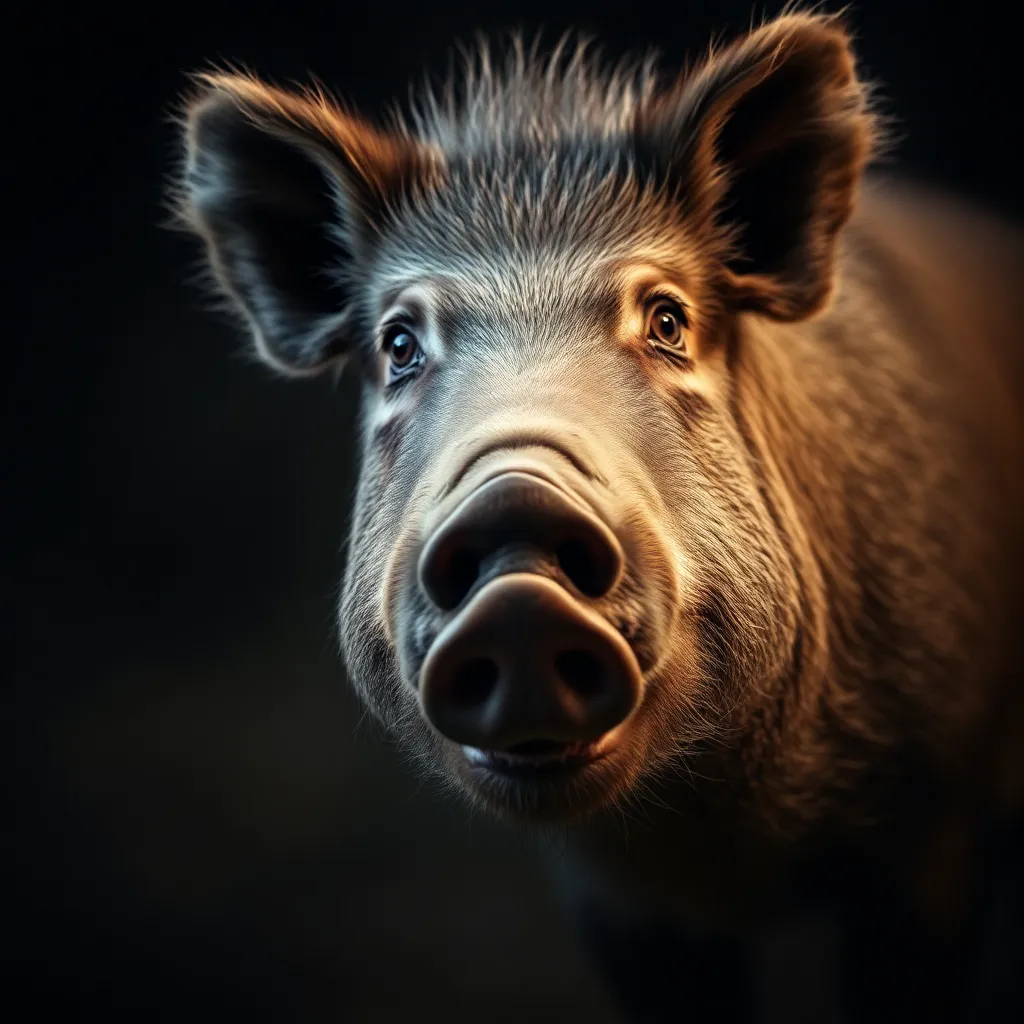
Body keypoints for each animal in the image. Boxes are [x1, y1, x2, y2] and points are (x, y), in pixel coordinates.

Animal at [173, 10, 1024, 1021]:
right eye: (399, 344)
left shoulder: (937, 830)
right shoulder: (617, 903)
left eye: (667, 320)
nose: (515, 501)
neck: (729, 846)